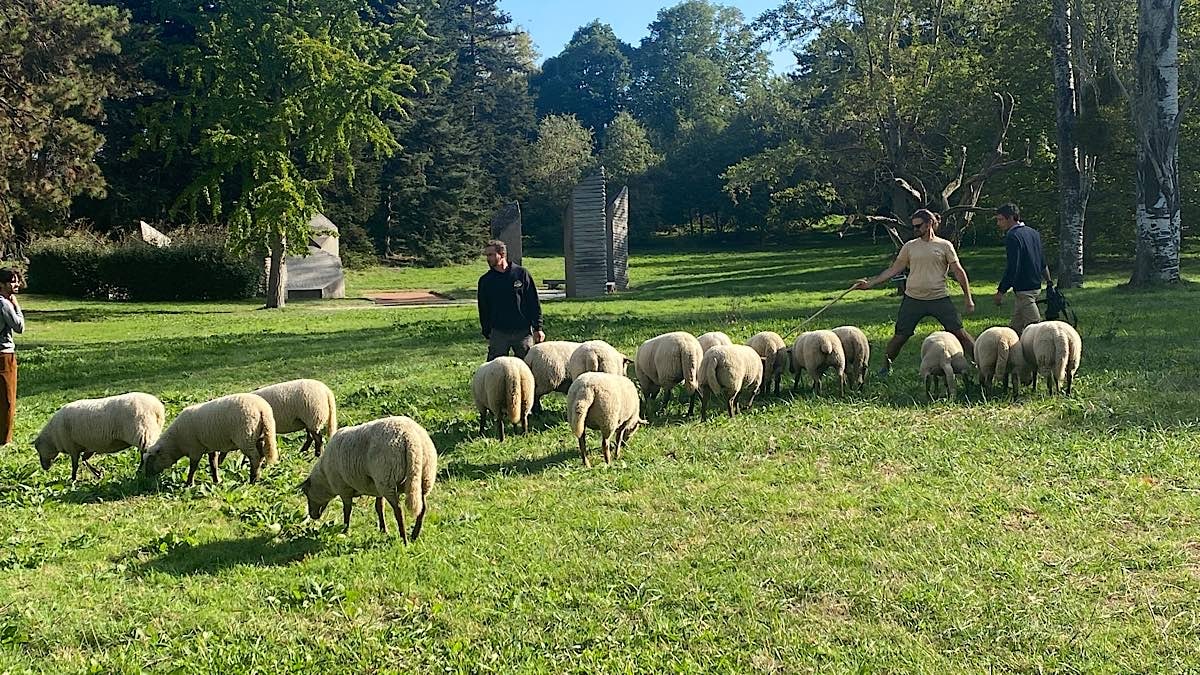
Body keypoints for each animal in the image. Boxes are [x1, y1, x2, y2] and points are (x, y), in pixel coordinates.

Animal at [34, 391, 166, 480]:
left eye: (38, 449)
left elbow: (75, 465)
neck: (52, 438)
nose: (44, 467)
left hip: (143, 432)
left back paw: (140, 471)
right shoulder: (88, 447)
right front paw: (98, 473)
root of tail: (157, 408)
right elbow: (84, 460)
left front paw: (73, 479)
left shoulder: (72, 447)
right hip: (149, 431)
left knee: (145, 453)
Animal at [141, 391, 278, 485]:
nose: (146, 477)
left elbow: (193, 467)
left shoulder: (195, 448)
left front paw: (189, 483)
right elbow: (213, 464)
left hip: (246, 436)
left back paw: (252, 480)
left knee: (255, 457)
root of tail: (262, 409)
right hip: (258, 436)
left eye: (151, 459)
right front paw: (216, 480)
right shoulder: (210, 447)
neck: (176, 442)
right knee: (261, 455)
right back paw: (257, 477)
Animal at [300, 415, 436, 540]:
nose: (312, 516)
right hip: (422, 478)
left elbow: (347, 510)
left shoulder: (344, 488)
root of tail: (410, 438)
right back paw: (414, 535)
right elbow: (379, 507)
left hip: (387, 479)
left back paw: (404, 539)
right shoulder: (376, 487)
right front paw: (383, 530)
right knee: (423, 508)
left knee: (399, 510)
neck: (325, 478)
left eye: (306, 493)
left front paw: (345, 530)